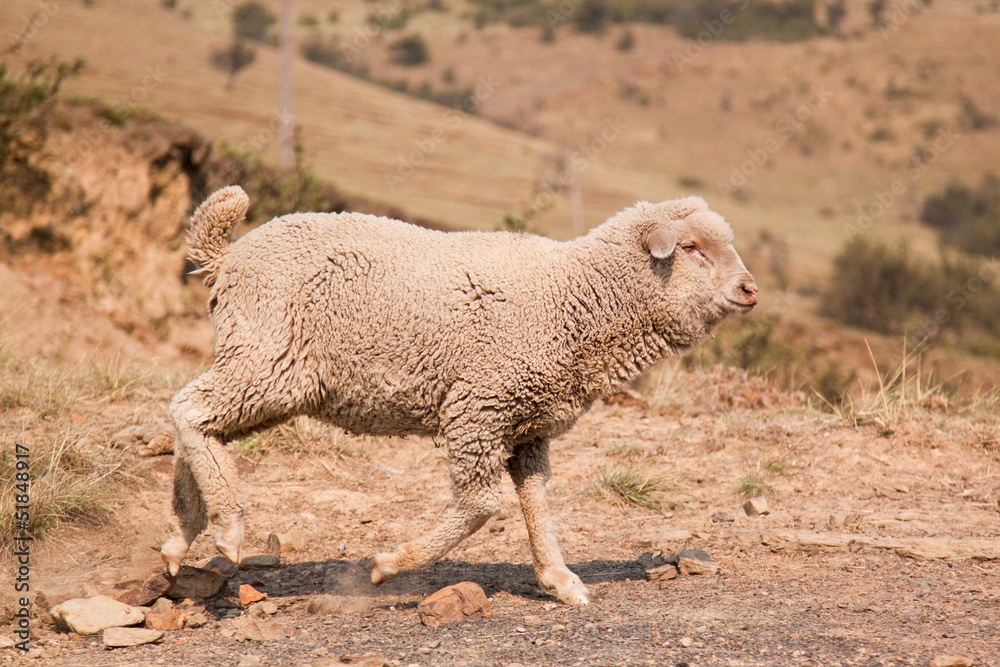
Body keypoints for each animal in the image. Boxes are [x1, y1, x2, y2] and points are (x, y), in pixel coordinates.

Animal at [161, 185, 757, 606]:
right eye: (692, 248)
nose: (750, 289)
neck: (574, 296)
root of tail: (228, 257)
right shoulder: (478, 408)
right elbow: (482, 504)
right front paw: (389, 565)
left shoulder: (528, 425)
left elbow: (536, 499)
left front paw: (559, 579)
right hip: (269, 355)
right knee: (190, 409)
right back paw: (228, 528)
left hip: (266, 368)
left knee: (201, 423)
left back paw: (182, 537)